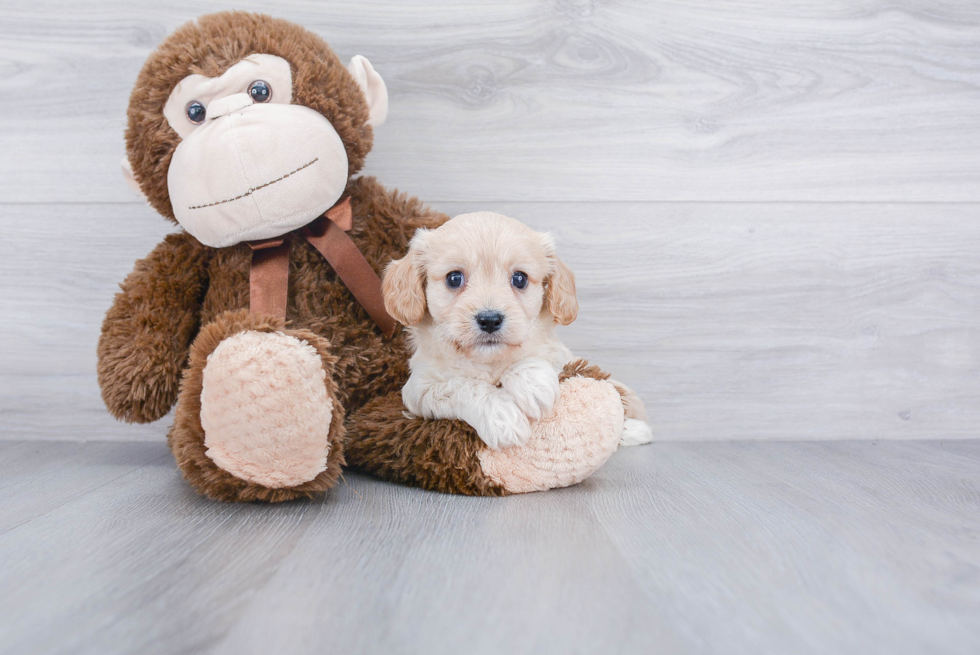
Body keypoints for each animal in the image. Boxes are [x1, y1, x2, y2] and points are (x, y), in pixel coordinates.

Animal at [380, 213, 652, 448]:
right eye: (454, 278)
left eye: (519, 279)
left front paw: (532, 384)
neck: (488, 362)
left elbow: (539, 360)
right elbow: (461, 386)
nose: (490, 320)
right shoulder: (419, 389)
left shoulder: (561, 356)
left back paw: (636, 430)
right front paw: (501, 418)